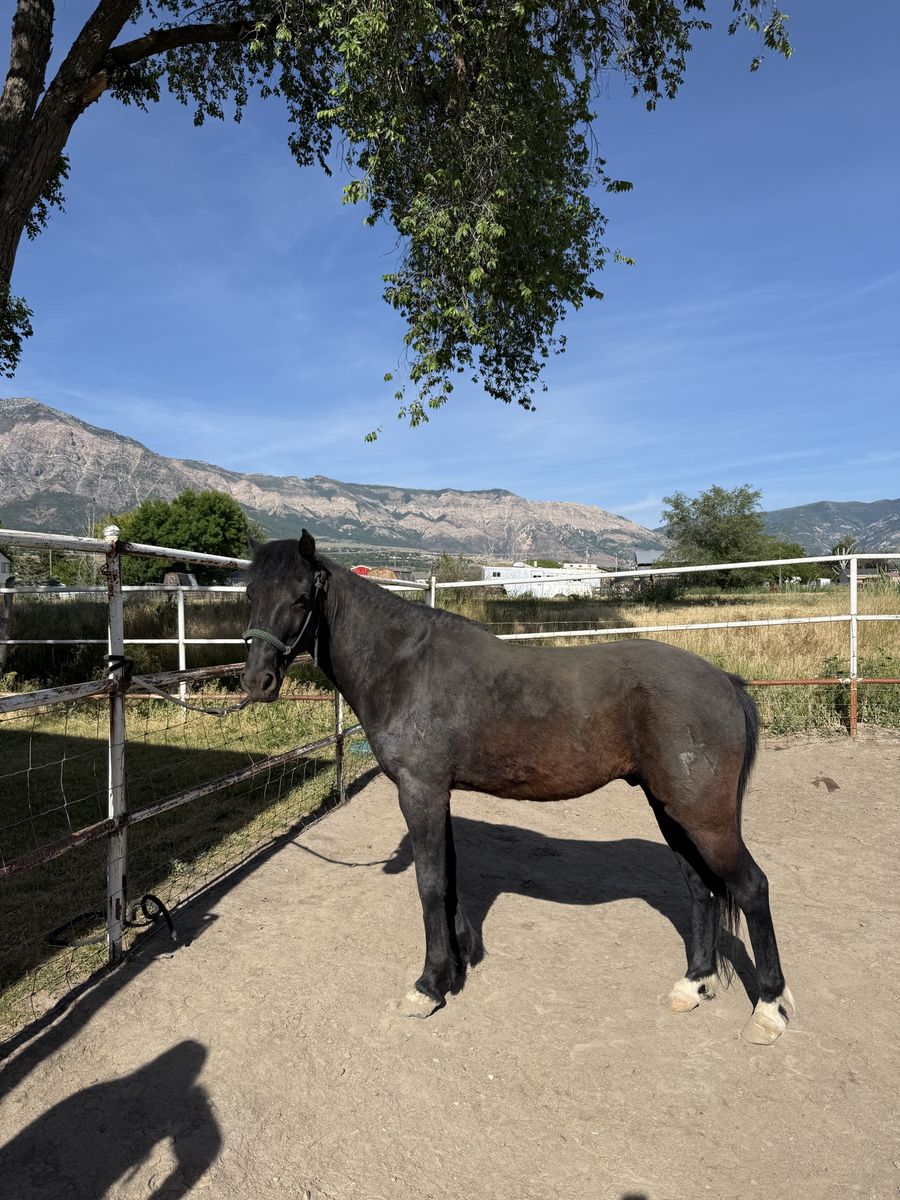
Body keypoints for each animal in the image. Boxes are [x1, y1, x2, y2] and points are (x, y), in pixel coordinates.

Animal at [240, 531, 794, 1044]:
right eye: (249, 592)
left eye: (301, 598)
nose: (257, 682)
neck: (404, 665)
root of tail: (725, 682)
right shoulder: (439, 794)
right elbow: (450, 877)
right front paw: (460, 963)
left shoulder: (420, 791)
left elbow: (429, 883)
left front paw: (428, 986)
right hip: (671, 809)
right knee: (700, 888)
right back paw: (692, 985)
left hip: (703, 815)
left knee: (751, 887)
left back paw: (768, 1009)